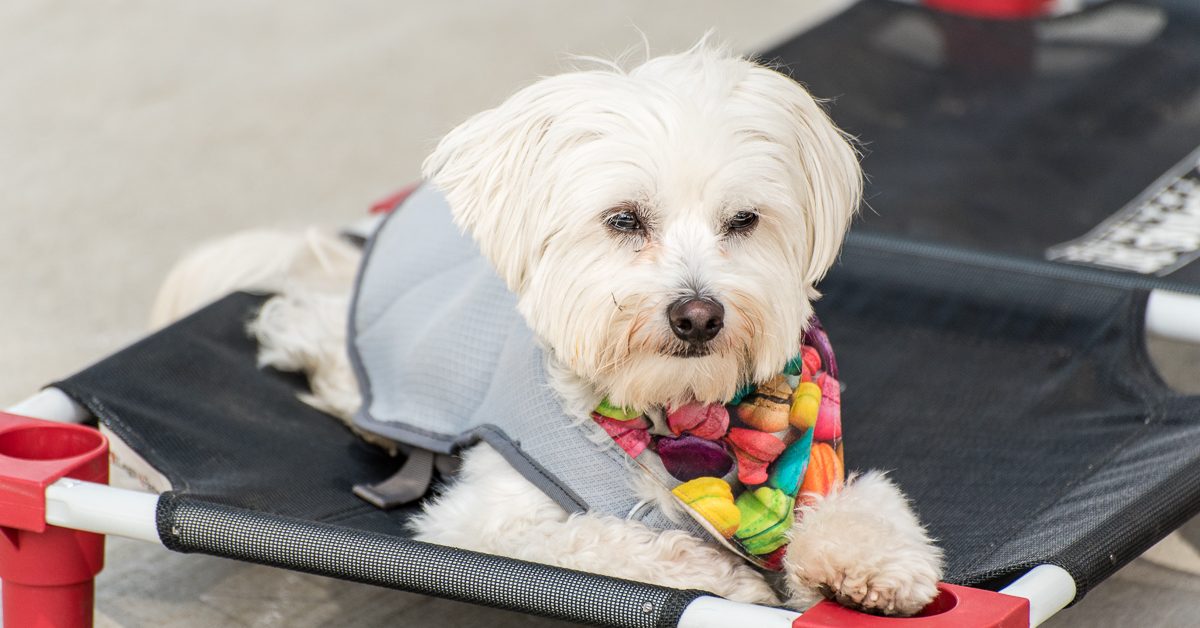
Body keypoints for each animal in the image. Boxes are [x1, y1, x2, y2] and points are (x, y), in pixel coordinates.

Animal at [154, 41, 940, 614]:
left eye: (743, 221)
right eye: (624, 219)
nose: (698, 315)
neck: (672, 417)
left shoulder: (818, 472)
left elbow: (866, 503)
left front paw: (872, 561)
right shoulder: (478, 526)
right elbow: (603, 538)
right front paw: (724, 576)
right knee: (305, 335)